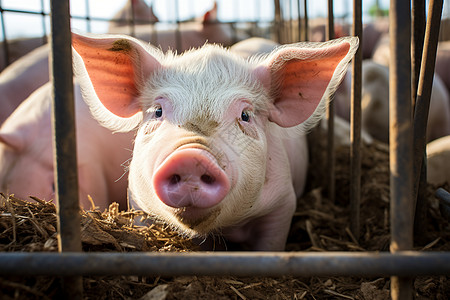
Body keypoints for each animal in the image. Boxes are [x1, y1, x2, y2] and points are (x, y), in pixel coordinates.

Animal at [71, 31, 358, 251]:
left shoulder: (283, 202)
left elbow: (270, 245)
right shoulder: (139, 205)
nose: (191, 156)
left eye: (245, 115)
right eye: (158, 111)